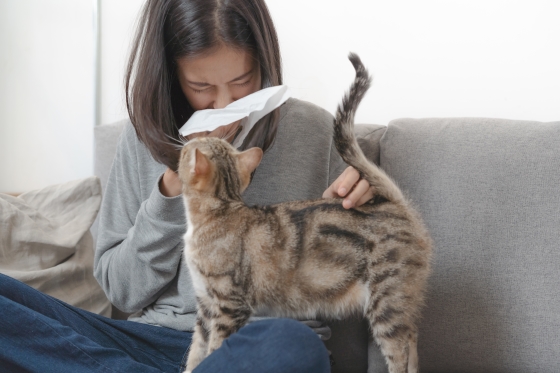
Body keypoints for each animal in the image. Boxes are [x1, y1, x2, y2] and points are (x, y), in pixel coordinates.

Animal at [179, 53, 434, 372]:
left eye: (187, 150)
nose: (184, 140)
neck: (220, 211)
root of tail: (393, 202)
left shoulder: (228, 304)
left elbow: (213, 349)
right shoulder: (204, 305)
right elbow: (195, 351)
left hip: (387, 302)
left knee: (400, 354)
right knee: (413, 347)